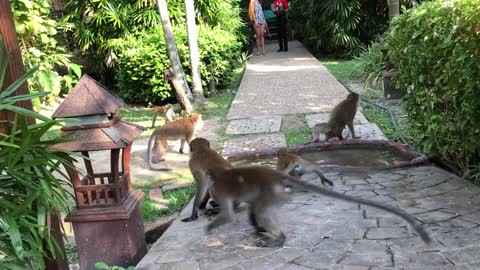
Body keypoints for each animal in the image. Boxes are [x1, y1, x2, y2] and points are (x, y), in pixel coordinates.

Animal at [206, 165, 432, 247]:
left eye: (213, 196)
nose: (211, 200)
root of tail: (275, 175)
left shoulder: (221, 192)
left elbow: (229, 216)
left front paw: (208, 229)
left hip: (273, 193)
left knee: (261, 210)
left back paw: (279, 238)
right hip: (274, 194)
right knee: (259, 208)